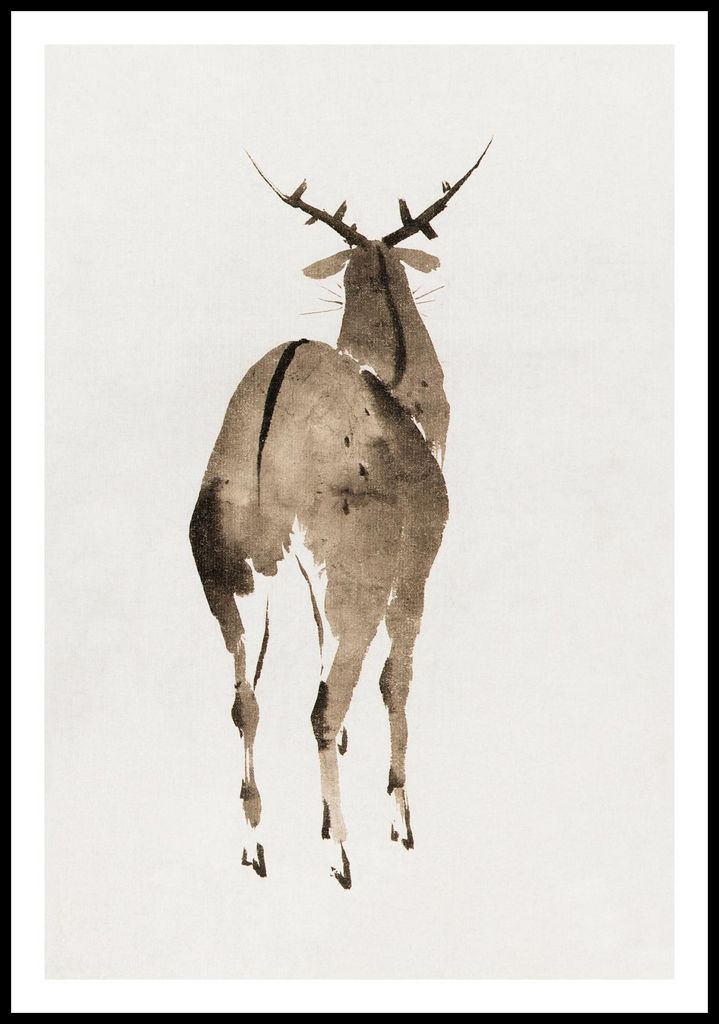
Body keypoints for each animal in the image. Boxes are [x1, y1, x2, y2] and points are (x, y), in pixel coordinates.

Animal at [189, 141, 492, 888]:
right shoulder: (414, 571)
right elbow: (395, 682)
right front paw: (399, 822)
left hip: (226, 573)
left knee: (245, 701)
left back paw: (256, 847)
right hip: (351, 578)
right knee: (325, 703)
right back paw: (342, 856)